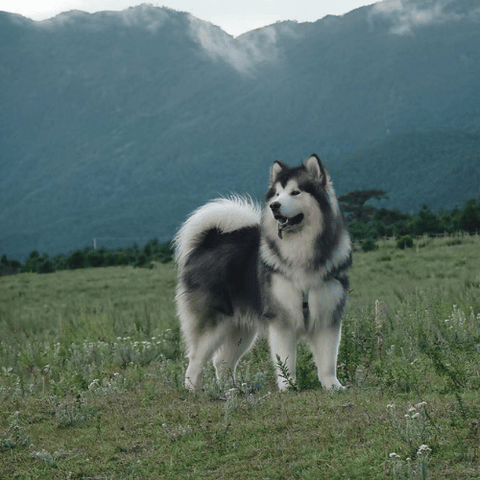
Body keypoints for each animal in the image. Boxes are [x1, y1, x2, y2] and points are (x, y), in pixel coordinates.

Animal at [174, 154, 350, 390]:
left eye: (295, 192)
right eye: (276, 194)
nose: (274, 206)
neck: (300, 248)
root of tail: (209, 242)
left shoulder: (327, 316)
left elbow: (328, 361)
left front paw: (333, 387)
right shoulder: (282, 319)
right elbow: (285, 360)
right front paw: (288, 387)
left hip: (240, 328)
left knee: (221, 361)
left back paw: (231, 390)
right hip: (212, 324)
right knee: (195, 361)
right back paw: (194, 390)